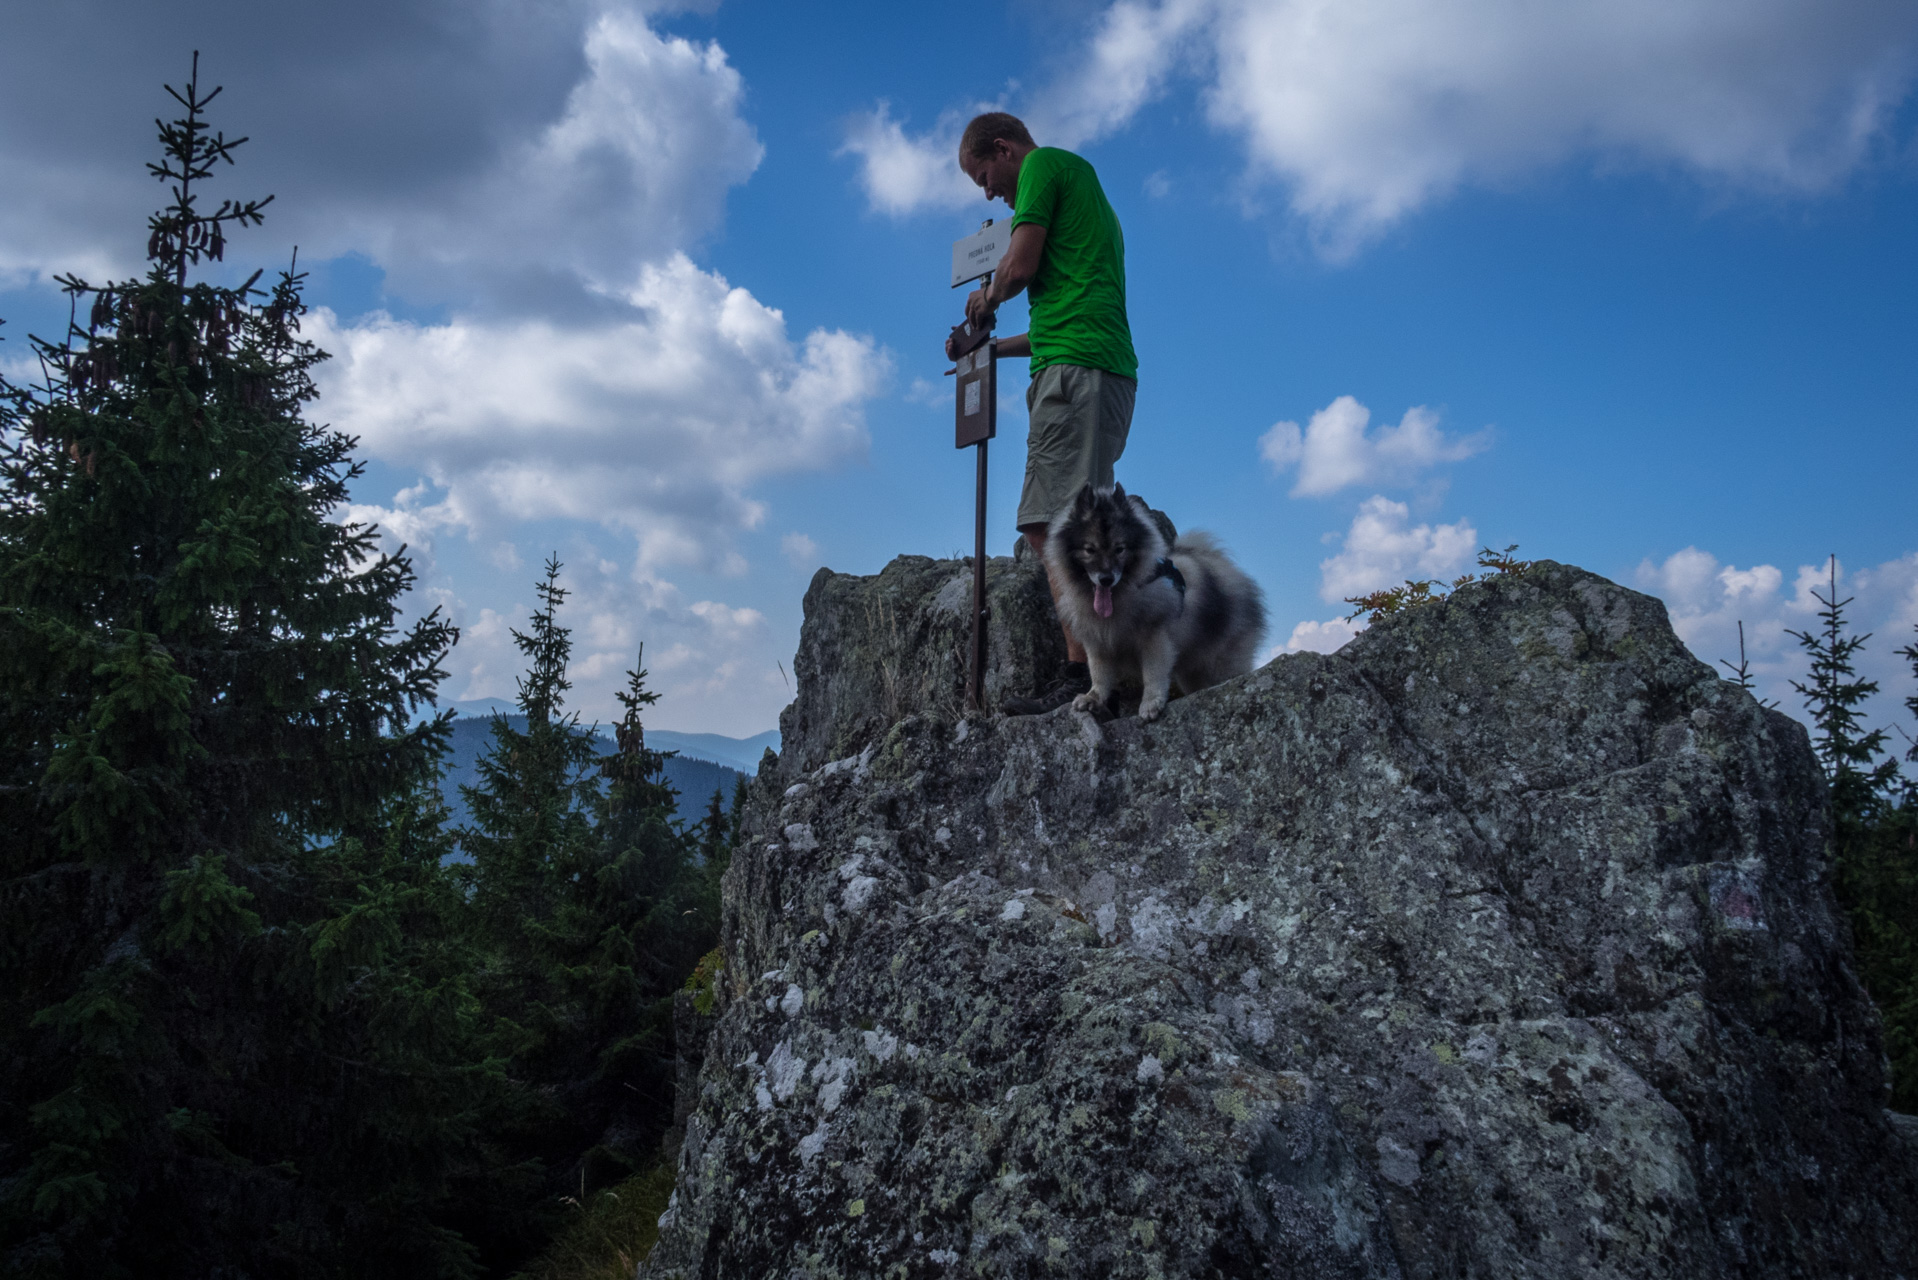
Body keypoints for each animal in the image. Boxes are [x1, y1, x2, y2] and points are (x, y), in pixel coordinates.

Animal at [1043, 483, 1265, 721]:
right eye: (1090, 550)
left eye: (1119, 549)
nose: (1106, 578)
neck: (1121, 595)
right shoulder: (1097, 641)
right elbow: (1099, 674)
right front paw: (1093, 698)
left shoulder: (1154, 636)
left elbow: (1153, 673)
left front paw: (1151, 703)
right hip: (1190, 670)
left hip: (1221, 661)